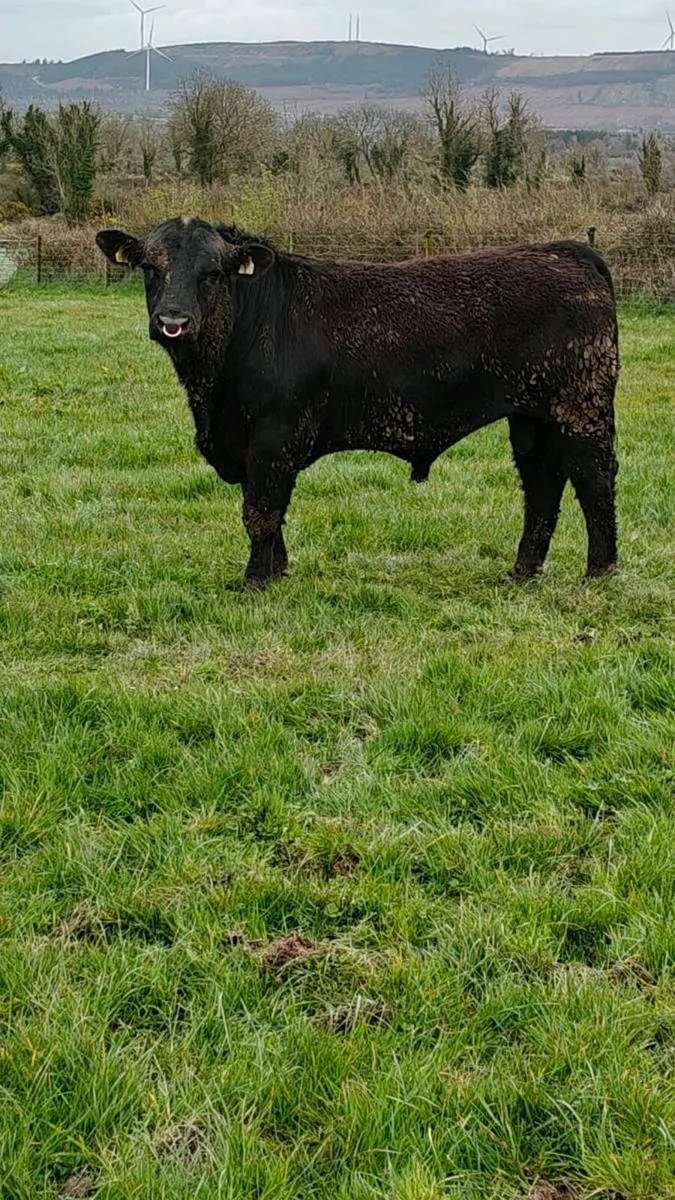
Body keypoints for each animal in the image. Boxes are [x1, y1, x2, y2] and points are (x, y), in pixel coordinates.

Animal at [96, 218, 620, 589]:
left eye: (211, 273)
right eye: (150, 268)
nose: (173, 321)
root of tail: (567, 250)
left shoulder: (274, 437)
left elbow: (260, 510)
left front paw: (255, 580)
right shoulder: (247, 444)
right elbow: (267, 511)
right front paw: (278, 569)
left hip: (583, 409)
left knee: (594, 480)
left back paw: (600, 571)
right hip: (533, 419)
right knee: (542, 485)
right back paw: (522, 571)